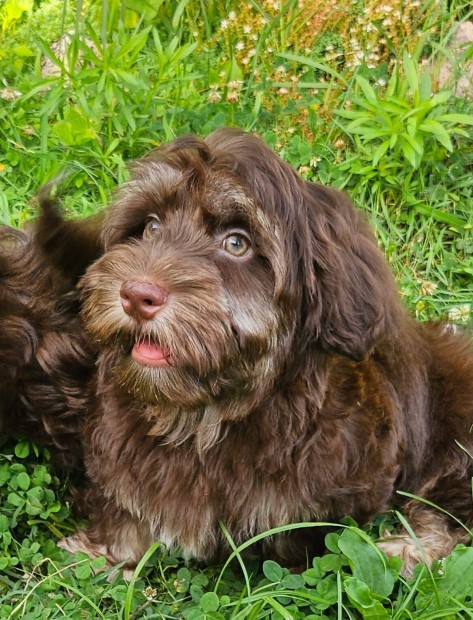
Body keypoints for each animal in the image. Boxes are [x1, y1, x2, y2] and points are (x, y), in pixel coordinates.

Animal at [8, 130, 472, 576]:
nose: (137, 295)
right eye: (151, 228)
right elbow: (124, 509)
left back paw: (408, 551)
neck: (202, 418)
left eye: (236, 244)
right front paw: (106, 554)